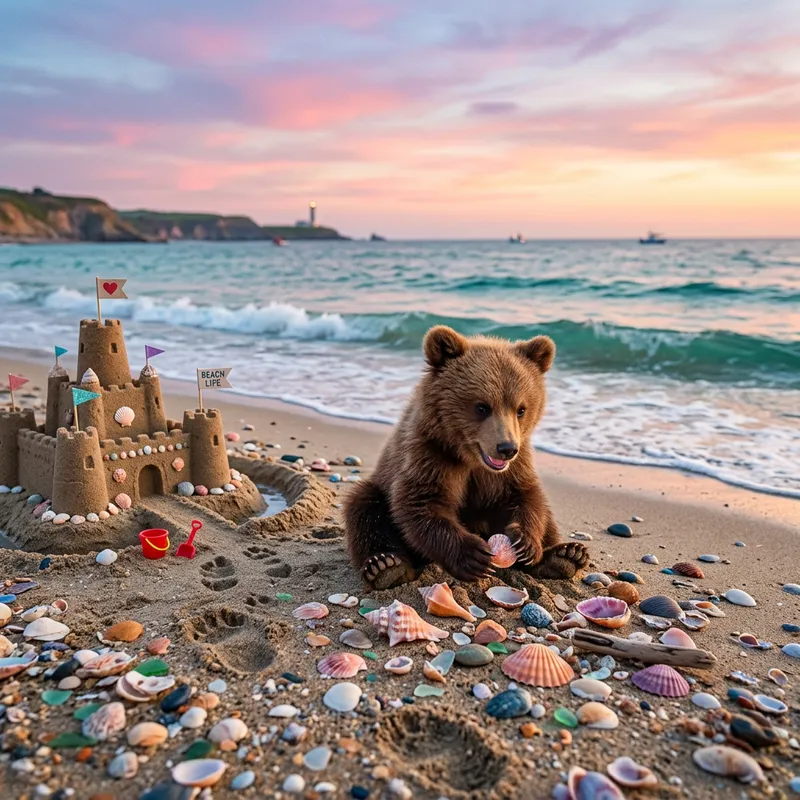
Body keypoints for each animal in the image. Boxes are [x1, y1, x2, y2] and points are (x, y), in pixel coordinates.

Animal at [344, 325, 589, 589]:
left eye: (521, 409)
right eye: (482, 407)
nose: (506, 448)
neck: (471, 459)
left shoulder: (513, 467)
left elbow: (526, 495)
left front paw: (525, 542)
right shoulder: (430, 455)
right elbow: (421, 503)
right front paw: (473, 555)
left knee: (547, 515)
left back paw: (566, 556)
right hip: (380, 486)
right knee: (365, 508)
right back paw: (385, 566)